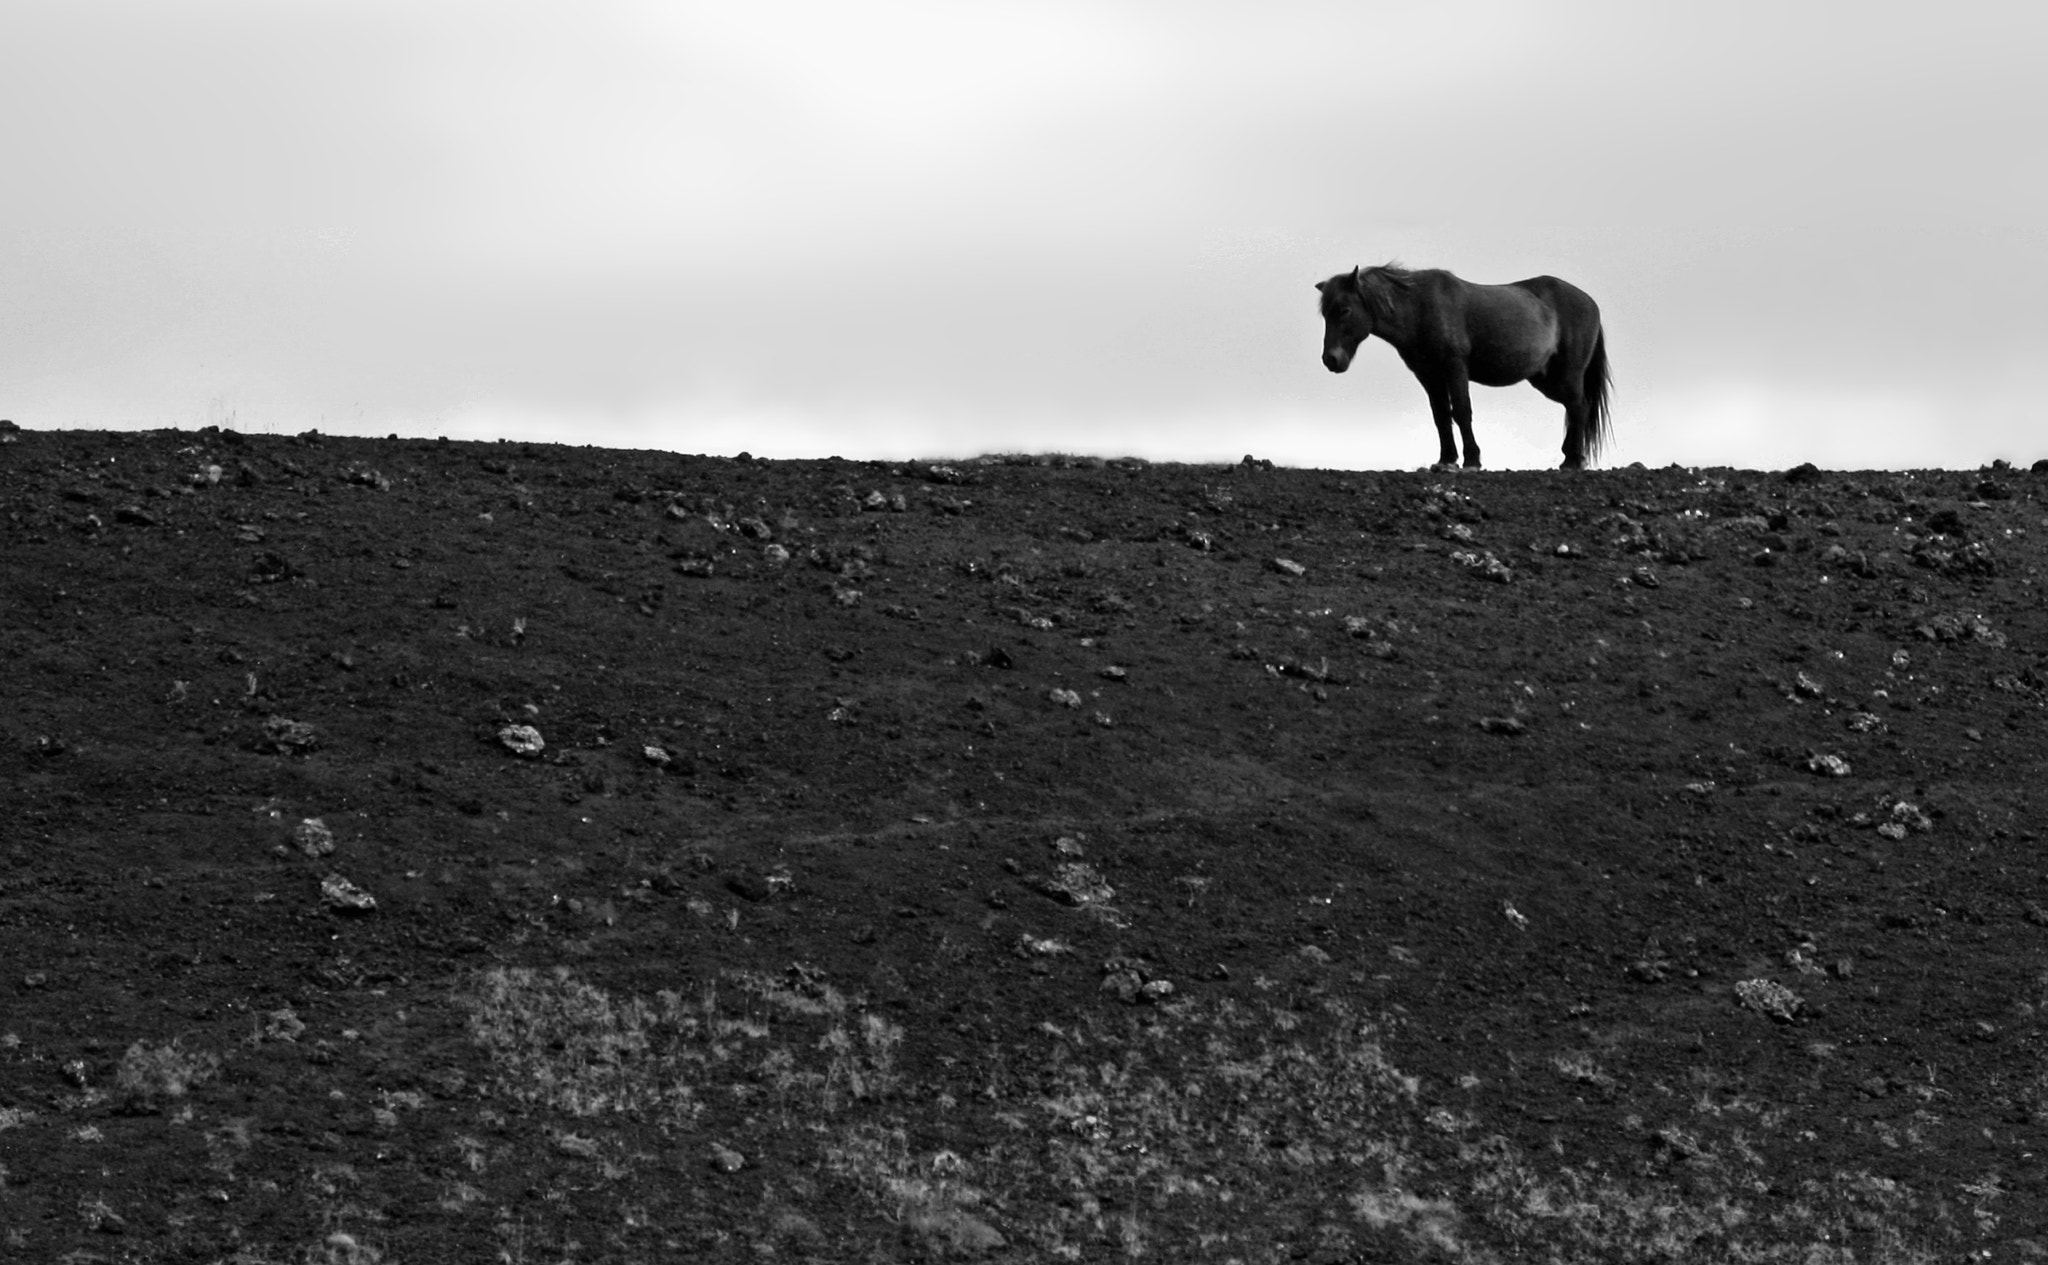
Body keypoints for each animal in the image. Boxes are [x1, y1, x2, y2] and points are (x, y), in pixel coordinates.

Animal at [1315, 264, 1612, 470]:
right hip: (1546, 380)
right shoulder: (1429, 376)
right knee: (1575, 408)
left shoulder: (1455, 368)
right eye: (1325, 313)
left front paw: (1471, 460)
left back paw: (1573, 461)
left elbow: (1461, 411)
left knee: (1579, 406)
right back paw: (1570, 457)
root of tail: (1592, 303)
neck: (1420, 308)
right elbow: (1441, 416)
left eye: (1344, 310)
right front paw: (1446, 460)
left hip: (1567, 375)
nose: (1331, 359)